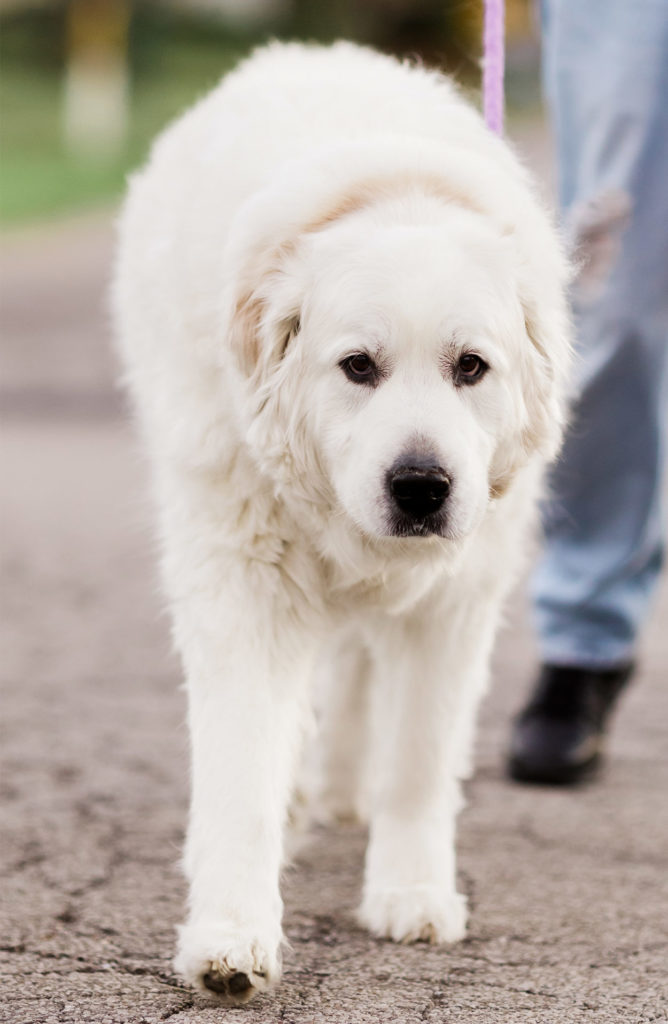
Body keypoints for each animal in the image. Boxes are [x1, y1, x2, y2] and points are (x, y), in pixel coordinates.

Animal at [112, 44, 569, 1003]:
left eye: (472, 366)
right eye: (358, 366)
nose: (421, 487)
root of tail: (300, 53)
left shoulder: (453, 603)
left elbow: (419, 760)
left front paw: (410, 892)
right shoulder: (242, 587)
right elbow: (242, 765)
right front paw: (230, 934)